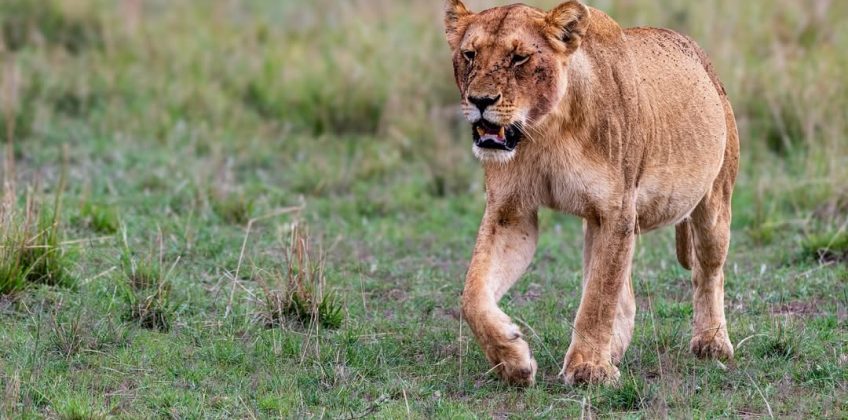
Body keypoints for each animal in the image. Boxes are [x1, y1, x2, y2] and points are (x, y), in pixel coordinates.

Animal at [443, 0, 739, 386]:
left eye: (520, 58)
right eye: (470, 54)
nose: (480, 100)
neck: (545, 132)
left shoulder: (616, 211)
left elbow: (598, 297)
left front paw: (588, 368)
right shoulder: (511, 213)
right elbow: (473, 295)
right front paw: (511, 358)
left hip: (714, 202)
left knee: (708, 272)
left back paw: (712, 342)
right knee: (625, 291)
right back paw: (614, 349)